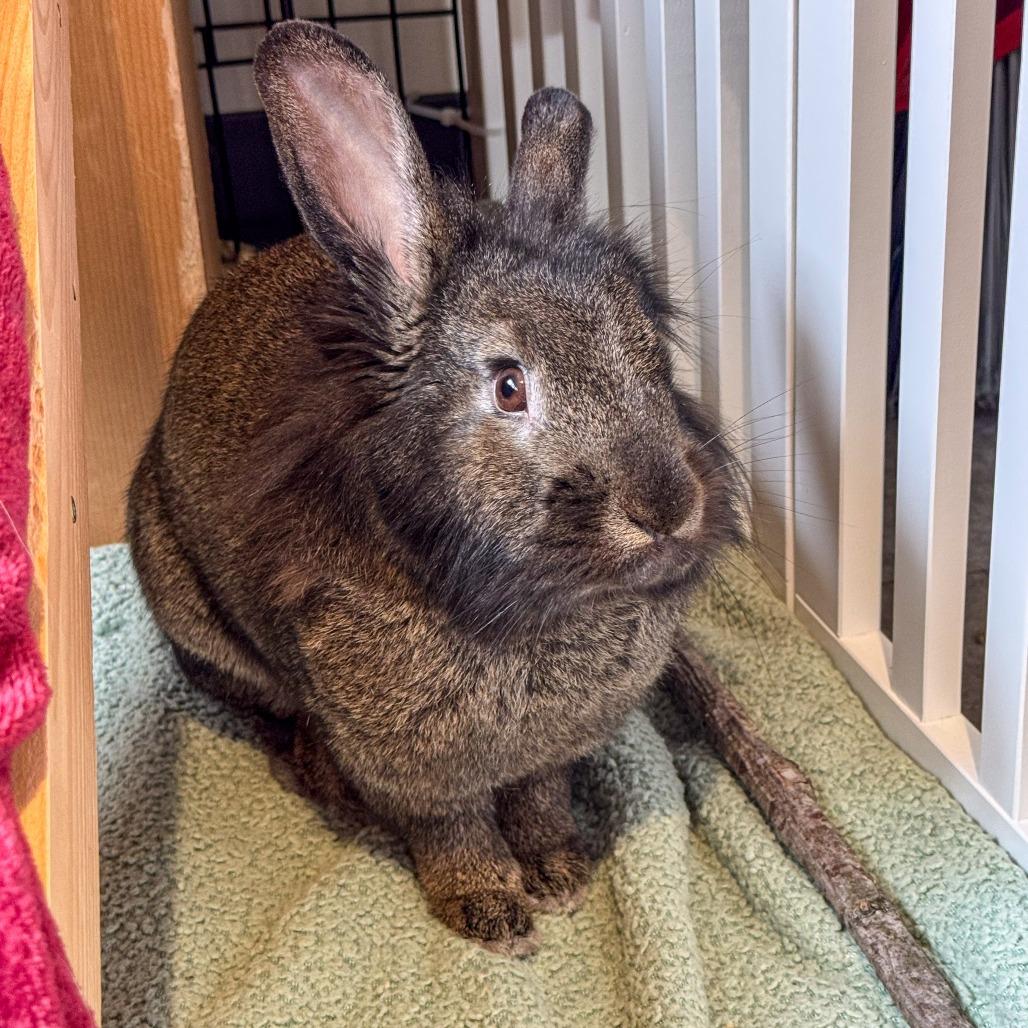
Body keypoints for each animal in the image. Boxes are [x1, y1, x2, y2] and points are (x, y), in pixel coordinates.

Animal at [127, 19, 743, 956]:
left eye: (651, 354)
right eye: (509, 387)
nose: (667, 508)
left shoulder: (544, 755)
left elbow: (537, 798)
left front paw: (560, 870)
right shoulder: (412, 766)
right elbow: (450, 830)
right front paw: (491, 913)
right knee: (272, 716)